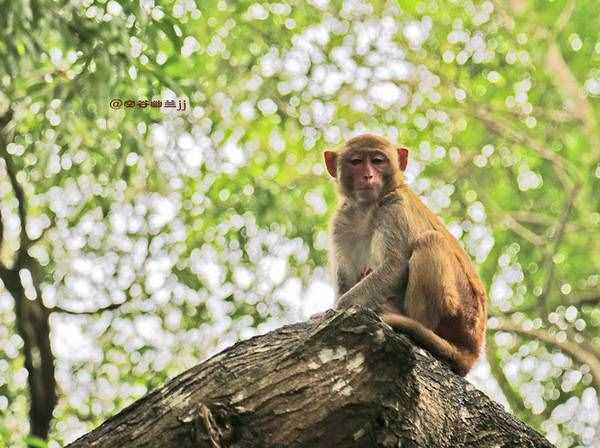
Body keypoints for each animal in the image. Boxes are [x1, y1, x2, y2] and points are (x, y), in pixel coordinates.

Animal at [324, 133, 488, 374]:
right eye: (356, 162)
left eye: (377, 160)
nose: (368, 175)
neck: (368, 208)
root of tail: (472, 348)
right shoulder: (341, 221)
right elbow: (346, 278)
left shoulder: (394, 207)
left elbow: (396, 265)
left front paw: (337, 310)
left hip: (461, 313)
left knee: (431, 241)